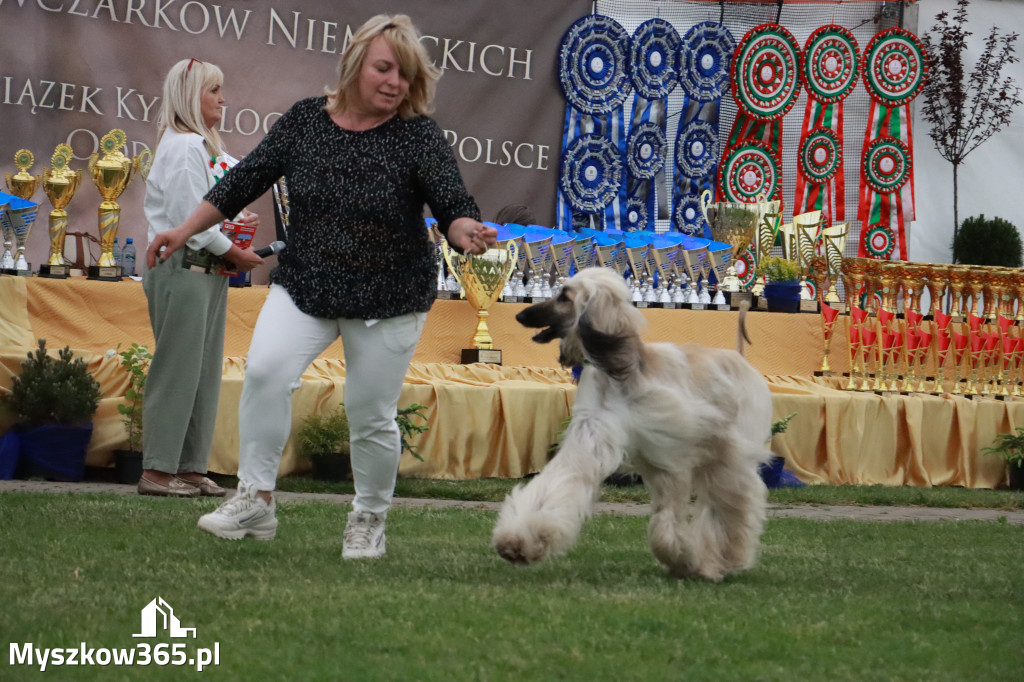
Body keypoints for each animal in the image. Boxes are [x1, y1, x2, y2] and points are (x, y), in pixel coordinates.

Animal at [491, 266, 770, 577]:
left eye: (564, 296)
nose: (521, 315)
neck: (623, 372)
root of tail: (740, 360)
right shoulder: (598, 433)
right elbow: (563, 477)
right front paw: (519, 541)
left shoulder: (671, 448)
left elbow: (679, 506)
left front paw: (690, 558)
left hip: (729, 449)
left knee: (733, 498)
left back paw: (726, 556)